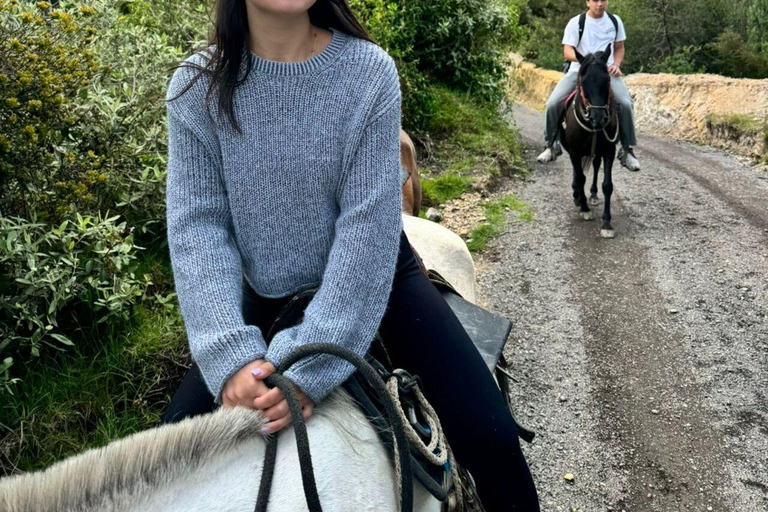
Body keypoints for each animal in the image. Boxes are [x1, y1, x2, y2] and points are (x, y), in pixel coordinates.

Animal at [560, 45, 620, 238]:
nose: (598, 118)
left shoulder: (609, 150)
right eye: (584, 82)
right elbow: (580, 177)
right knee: (578, 172)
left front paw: (607, 223)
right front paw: (585, 208)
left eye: (607, 80)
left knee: (594, 166)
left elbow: (607, 185)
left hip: (597, 152)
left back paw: (592, 195)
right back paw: (578, 196)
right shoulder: (575, 151)